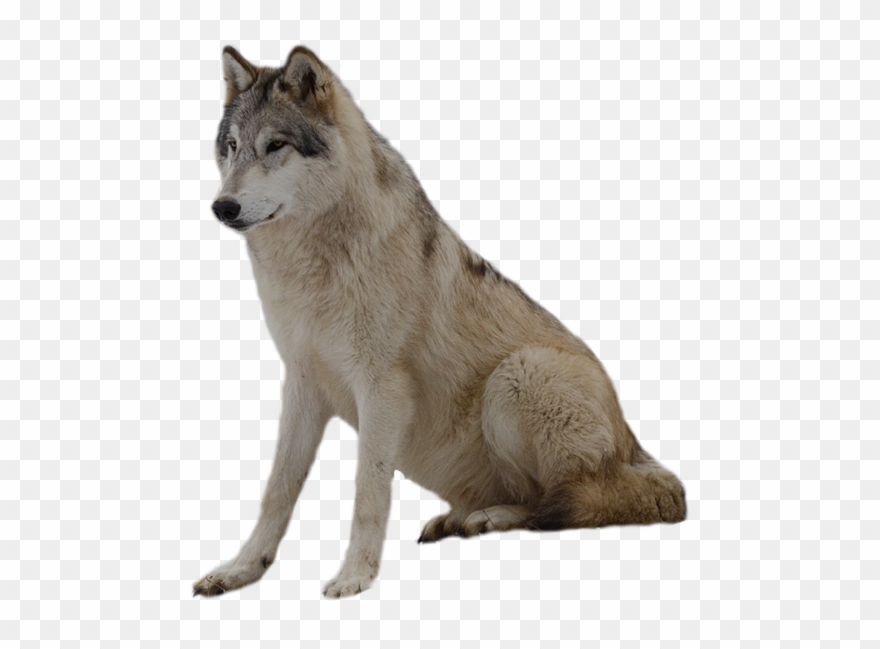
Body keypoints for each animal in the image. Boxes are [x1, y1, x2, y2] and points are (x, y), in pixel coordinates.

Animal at [192, 45, 686, 599]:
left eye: (275, 145)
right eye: (232, 147)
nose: (222, 207)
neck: (314, 266)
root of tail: (638, 449)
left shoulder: (382, 389)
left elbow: (368, 491)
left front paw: (355, 576)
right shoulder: (301, 385)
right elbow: (277, 491)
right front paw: (241, 570)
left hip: (518, 376)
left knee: (571, 502)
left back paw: (489, 518)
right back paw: (458, 519)